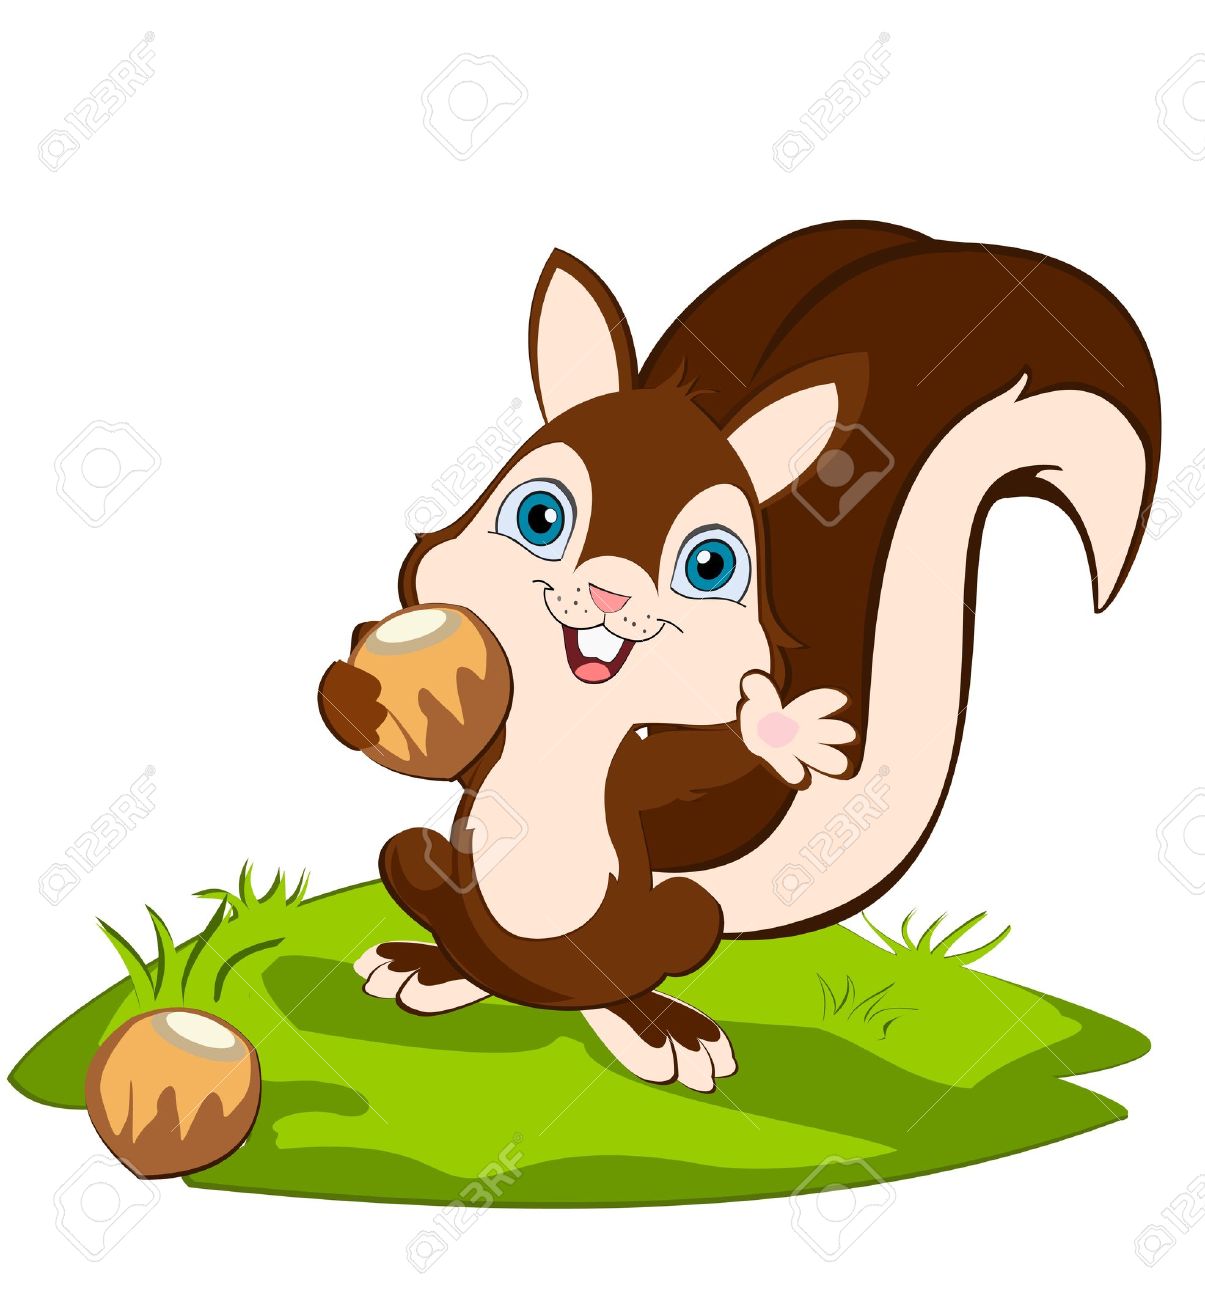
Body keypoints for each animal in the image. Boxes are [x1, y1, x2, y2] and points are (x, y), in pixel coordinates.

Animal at [318, 221, 1160, 1092]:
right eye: (540, 516)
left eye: (710, 565)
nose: (611, 592)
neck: (568, 730)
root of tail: (542, 989)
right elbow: (447, 754)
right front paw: (363, 686)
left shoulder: (635, 778)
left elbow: (699, 764)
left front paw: (781, 732)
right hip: (432, 868)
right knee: (424, 876)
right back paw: (434, 969)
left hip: (664, 920)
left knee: (641, 963)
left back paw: (655, 1029)